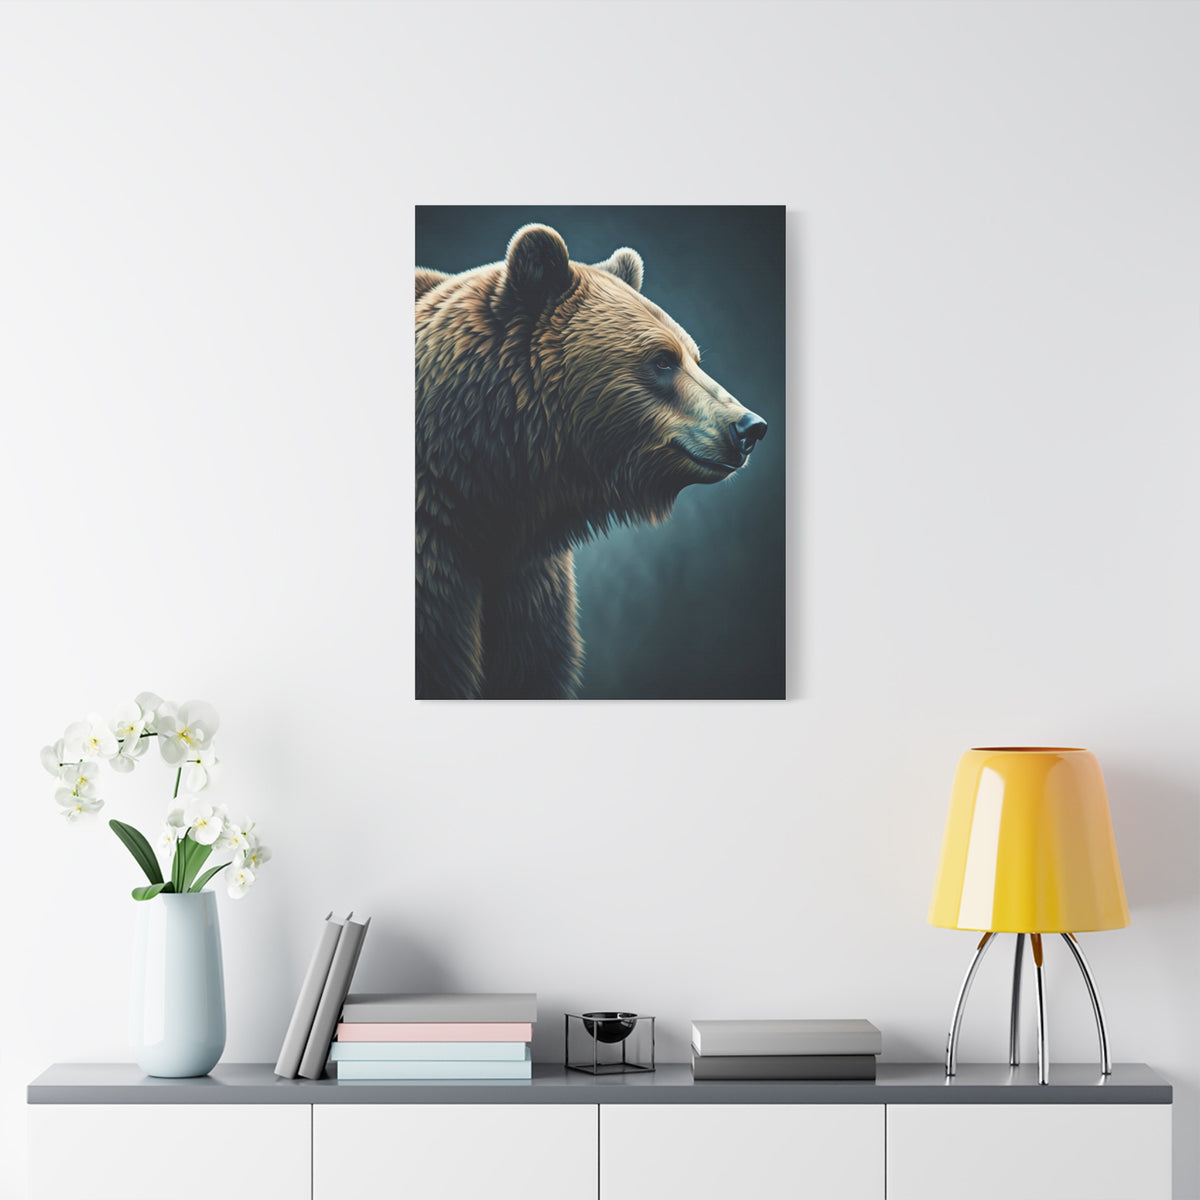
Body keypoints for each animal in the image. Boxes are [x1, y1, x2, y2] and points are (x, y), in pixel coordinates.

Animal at [416, 223, 767, 700]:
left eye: (694, 357)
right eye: (662, 359)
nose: (749, 427)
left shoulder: (528, 577)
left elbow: (533, 667)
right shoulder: (434, 558)